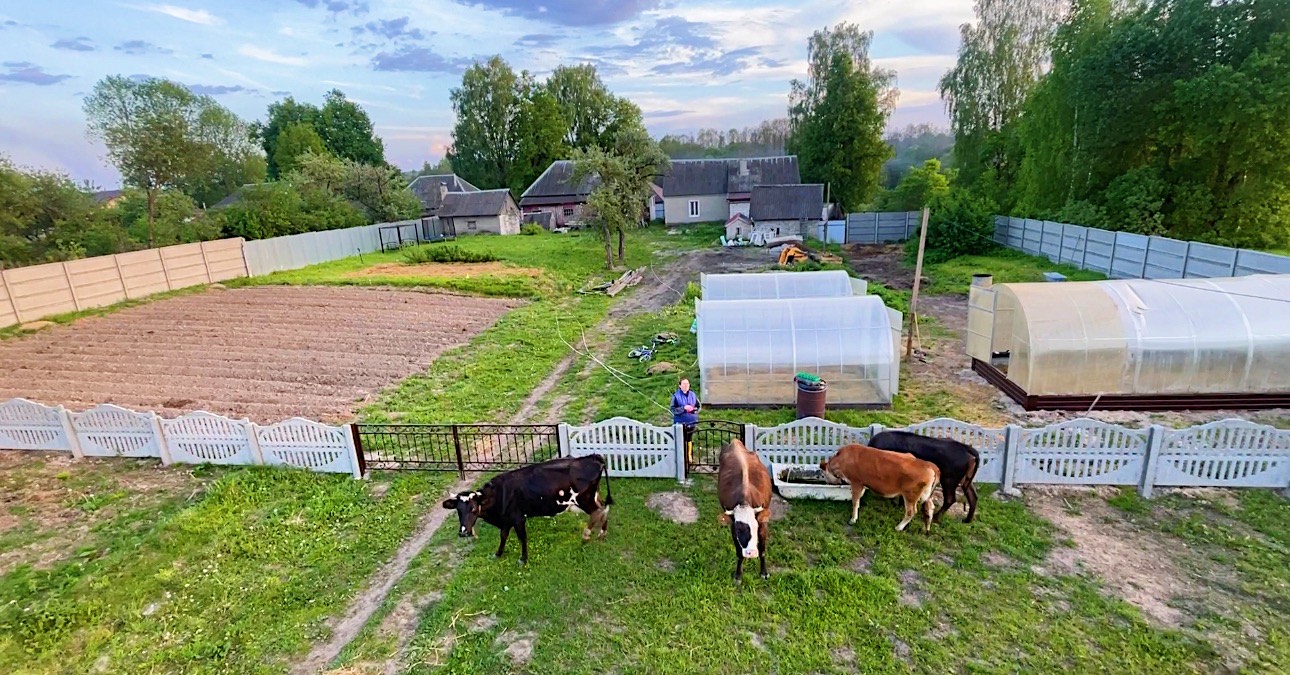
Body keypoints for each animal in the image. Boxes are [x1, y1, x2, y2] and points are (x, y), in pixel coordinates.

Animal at [443, 454, 614, 565]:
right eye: (458, 511)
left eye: (473, 508)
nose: (463, 532)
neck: (499, 494)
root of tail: (591, 457)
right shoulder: (506, 520)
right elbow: (503, 536)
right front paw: (498, 553)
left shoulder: (518, 518)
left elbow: (522, 538)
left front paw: (523, 559)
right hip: (593, 496)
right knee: (603, 508)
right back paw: (602, 534)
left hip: (585, 499)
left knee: (598, 512)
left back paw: (589, 535)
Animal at [712, 438, 768, 580]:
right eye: (739, 529)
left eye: (756, 527)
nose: (751, 552)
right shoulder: (732, 528)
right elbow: (738, 553)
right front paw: (738, 575)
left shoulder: (763, 523)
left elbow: (763, 550)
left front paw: (764, 572)